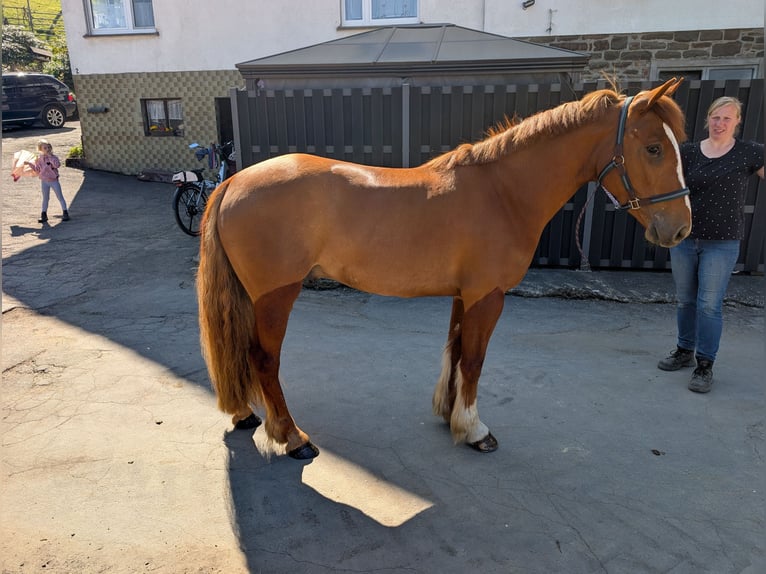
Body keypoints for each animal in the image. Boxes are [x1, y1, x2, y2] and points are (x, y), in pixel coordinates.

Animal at [197, 78, 691, 460]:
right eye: (653, 148)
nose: (681, 227)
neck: (502, 192)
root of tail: (233, 180)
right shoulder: (488, 296)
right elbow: (474, 359)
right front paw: (473, 429)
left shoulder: (463, 295)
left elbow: (455, 350)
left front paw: (448, 412)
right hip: (276, 295)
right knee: (264, 359)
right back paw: (291, 437)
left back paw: (246, 414)